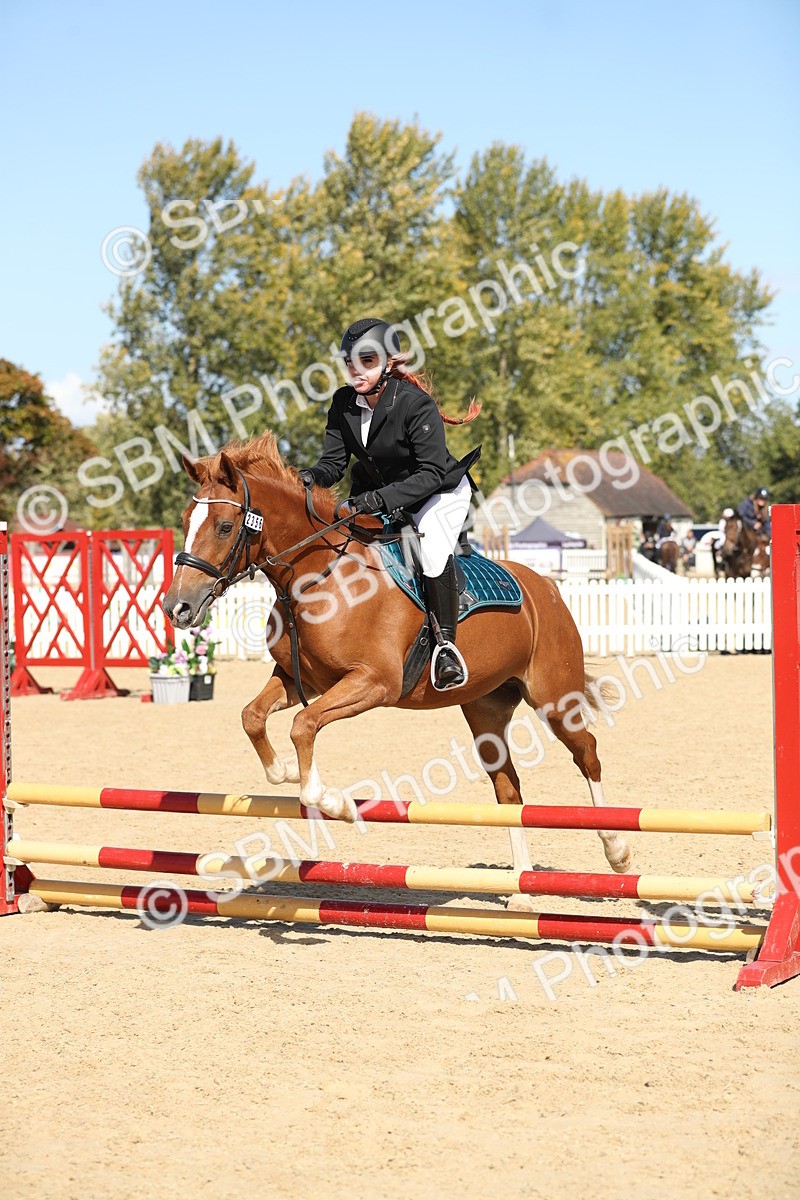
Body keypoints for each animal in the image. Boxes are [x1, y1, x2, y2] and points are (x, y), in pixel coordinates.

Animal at [163, 433, 632, 902]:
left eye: (225, 527)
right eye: (186, 519)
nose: (176, 607)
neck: (319, 578)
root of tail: (546, 587)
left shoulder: (374, 683)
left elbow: (303, 726)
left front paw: (335, 804)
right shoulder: (303, 681)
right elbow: (253, 716)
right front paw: (286, 772)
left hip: (554, 698)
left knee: (587, 754)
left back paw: (617, 851)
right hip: (486, 709)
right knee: (507, 787)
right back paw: (521, 886)